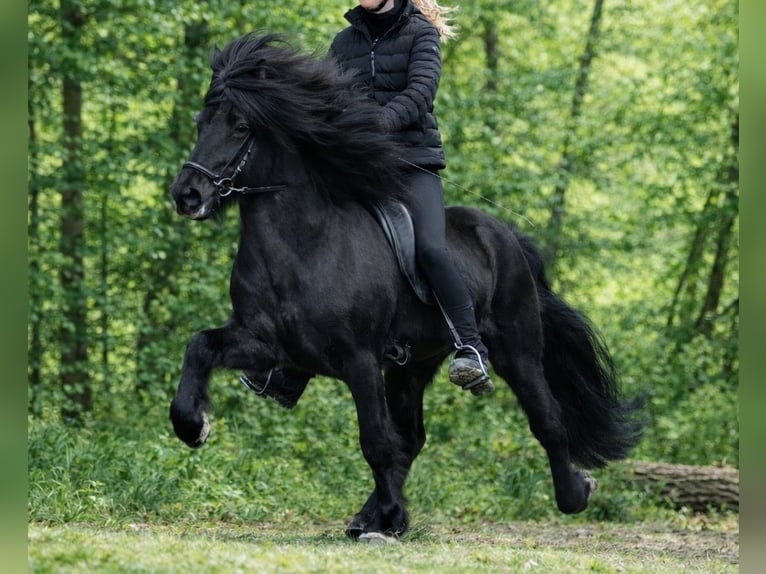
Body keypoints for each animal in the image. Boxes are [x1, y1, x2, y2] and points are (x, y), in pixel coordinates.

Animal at [168, 32, 643, 540]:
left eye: (240, 126)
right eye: (201, 122)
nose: (187, 195)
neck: (302, 246)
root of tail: (507, 237)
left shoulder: (358, 358)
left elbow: (375, 440)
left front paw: (393, 517)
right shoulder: (268, 344)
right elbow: (199, 346)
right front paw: (192, 426)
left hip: (517, 350)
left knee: (545, 419)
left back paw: (573, 494)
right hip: (411, 366)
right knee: (412, 438)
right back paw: (370, 516)